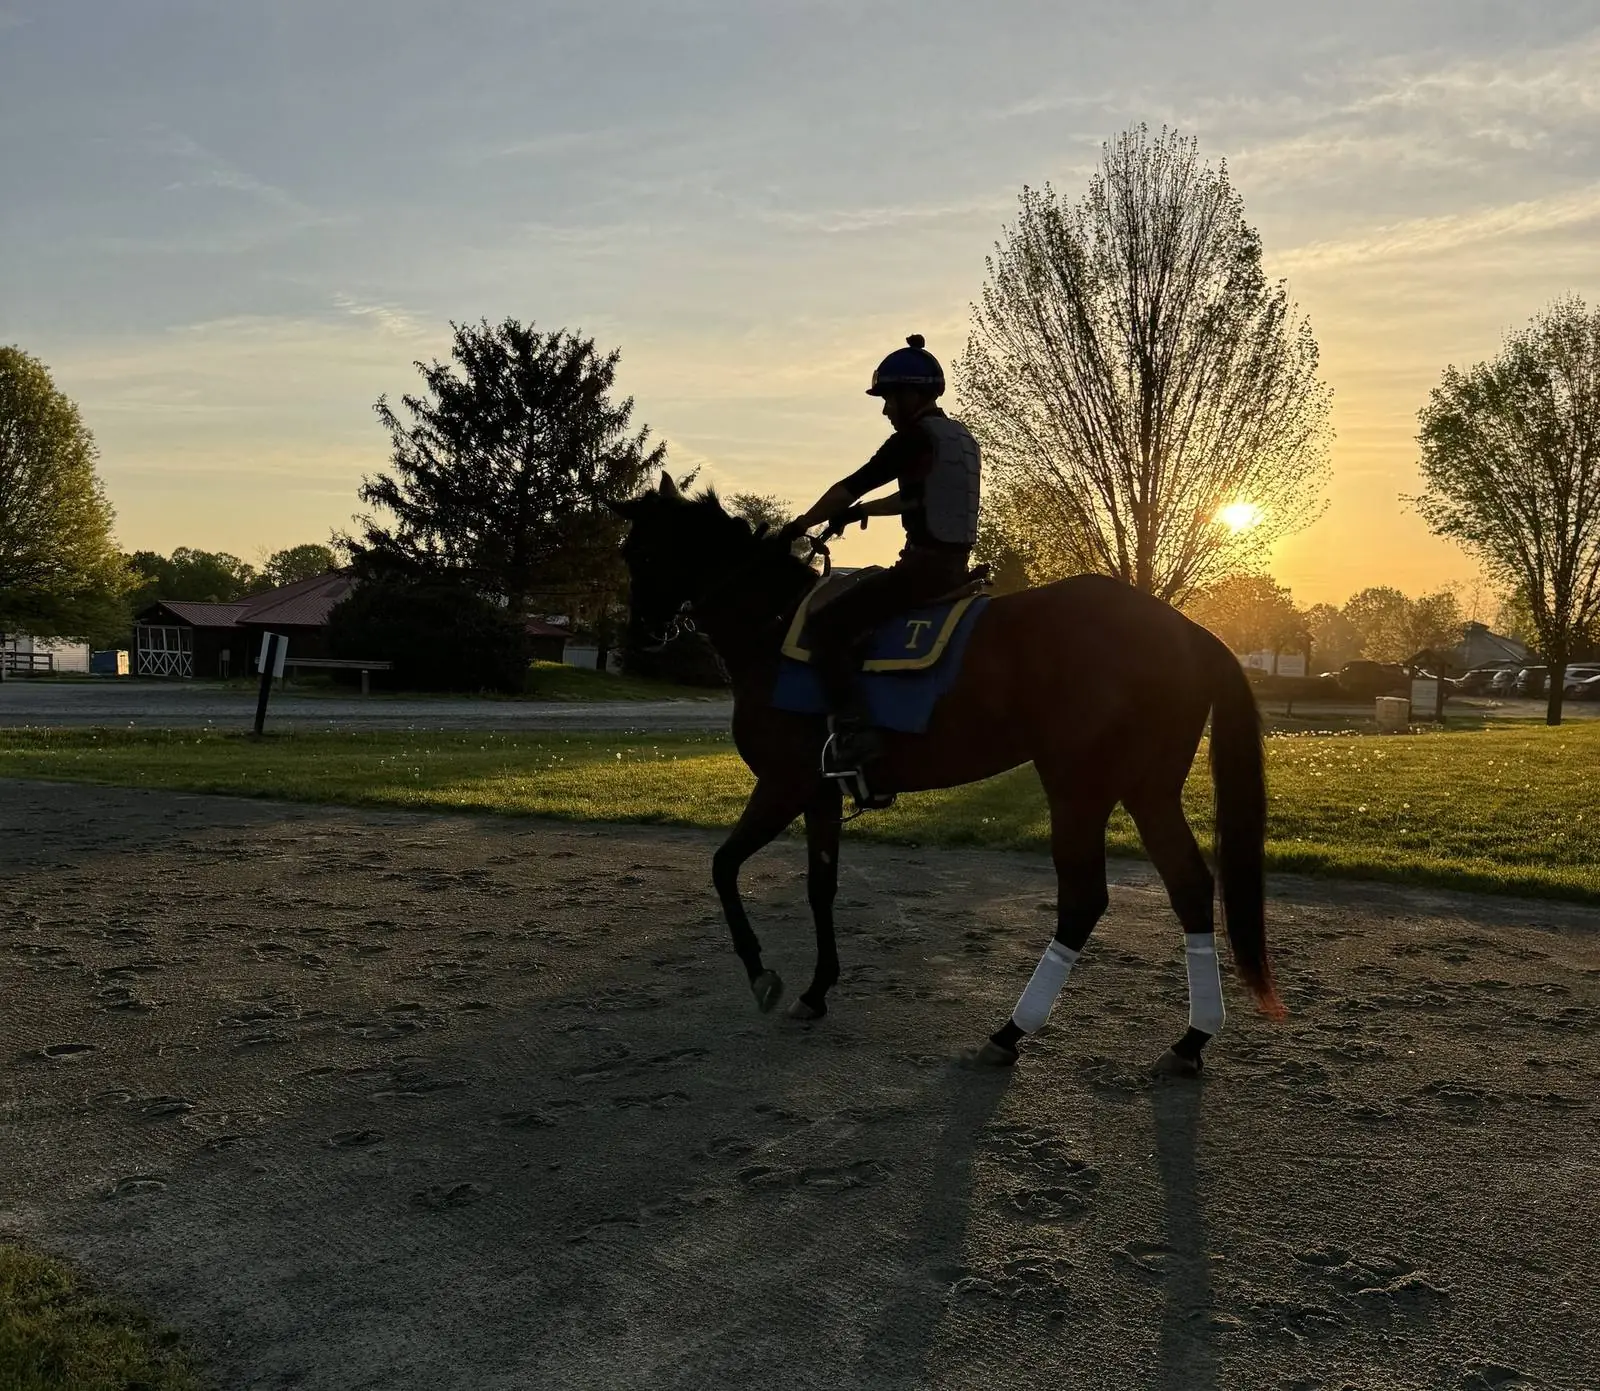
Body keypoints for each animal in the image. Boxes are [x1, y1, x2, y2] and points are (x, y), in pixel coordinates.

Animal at [612, 474, 1284, 1073]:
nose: (637, 634)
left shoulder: (784, 784)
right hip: (1147, 789)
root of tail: (1186, 628)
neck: (774, 628)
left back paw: (1012, 1031)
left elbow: (724, 867)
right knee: (1189, 886)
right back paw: (1192, 1040)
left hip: (1078, 787)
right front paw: (817, 989)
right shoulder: (820, 795)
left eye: (640, 552)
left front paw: (761, 973)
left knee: (1084, 899)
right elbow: (819, 887)